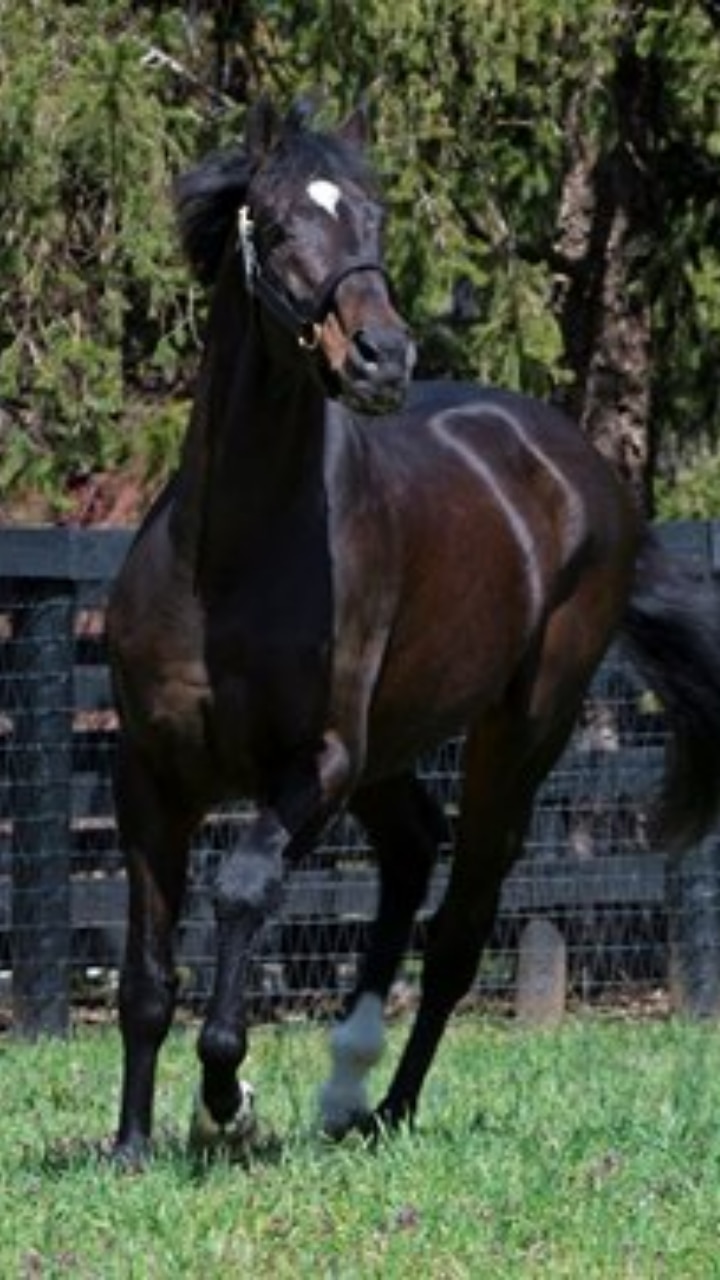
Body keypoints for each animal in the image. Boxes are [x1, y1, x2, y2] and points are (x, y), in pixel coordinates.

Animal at [107, 97, 720, 1165]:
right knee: (410, 849)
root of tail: (591, 480)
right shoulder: (151, 774)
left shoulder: (315, 764)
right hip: (392, 753)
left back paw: (387, 1105)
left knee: (462, 921)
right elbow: (146, 977)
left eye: (376, 221)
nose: (382, 358)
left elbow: (244, 888)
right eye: (275, 225)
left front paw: (227, 1096)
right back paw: (346, 1085)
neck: (222, 562)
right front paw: (132, 1145)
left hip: (517, 735)